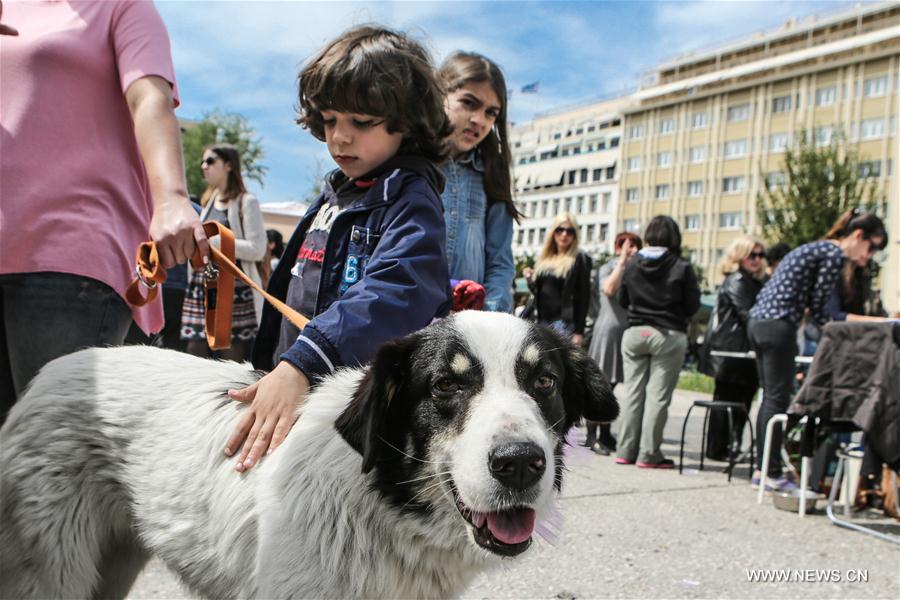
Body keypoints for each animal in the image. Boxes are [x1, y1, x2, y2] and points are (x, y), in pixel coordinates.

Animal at [0, 312, 616, 596]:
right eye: (445, 385)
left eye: (544, 382)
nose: (520, 463)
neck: (384, 510)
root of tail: (57, 368)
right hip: (52, 574)